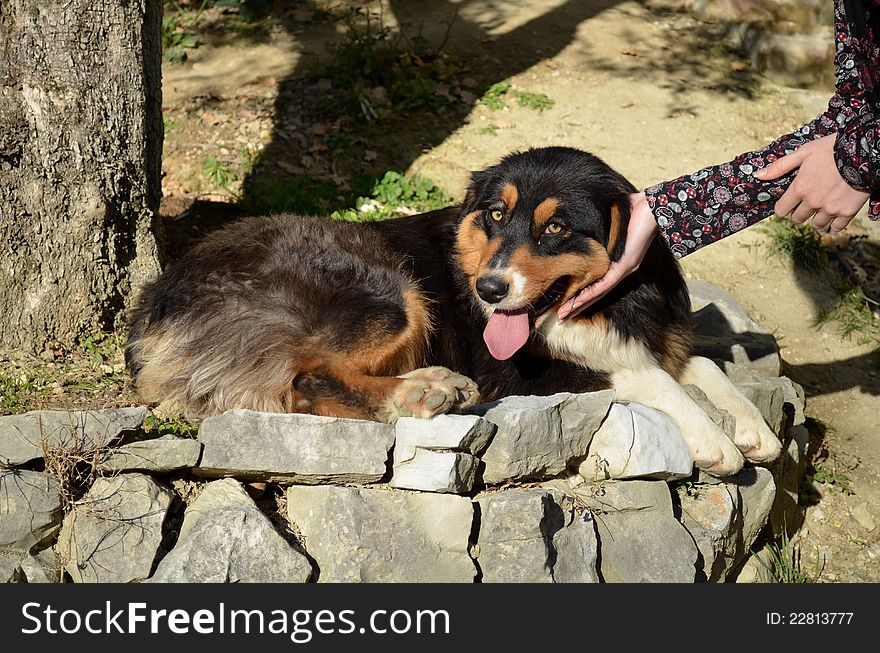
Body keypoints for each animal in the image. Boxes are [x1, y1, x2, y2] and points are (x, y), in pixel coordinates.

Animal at [127, 146, 780, 474]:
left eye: (556, 227)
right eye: (495, 213)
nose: (488, 291)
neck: (606, 305)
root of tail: (158, 299)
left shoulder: (653, 340)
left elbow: (702, 366)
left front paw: (753, 427)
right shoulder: (537, 372)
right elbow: (652, 378)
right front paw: (713, 440)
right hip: (393, 291)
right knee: (306, 380)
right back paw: (423, 392)